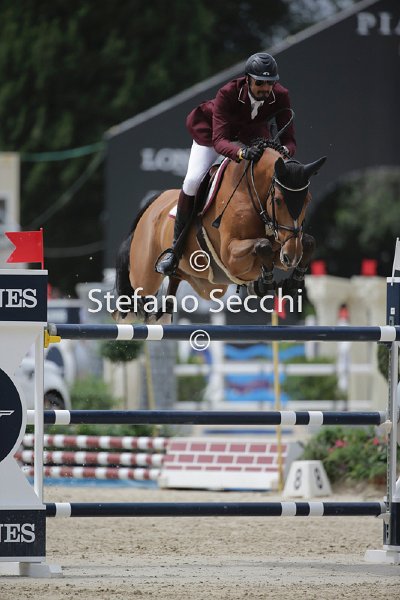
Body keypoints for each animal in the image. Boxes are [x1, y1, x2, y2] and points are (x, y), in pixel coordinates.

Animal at [113, 141, 326, 323]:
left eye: (307, 200)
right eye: (278, 201)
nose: (292, 256)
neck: (251, 195)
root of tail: (156, 201)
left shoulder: (283, 246)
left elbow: (308, 241)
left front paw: (290, 281)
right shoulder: (230, 256)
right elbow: (262, 244)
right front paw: (264, 282)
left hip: (204, 284)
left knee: (171, 291)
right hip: (145, 276)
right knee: (133, 296)